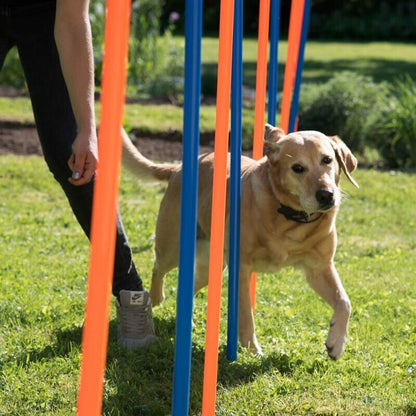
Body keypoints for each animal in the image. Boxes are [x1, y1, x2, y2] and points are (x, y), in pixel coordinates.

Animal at [122, 124, 360, 360]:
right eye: (298, 168)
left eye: (327, 160)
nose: (326, 195)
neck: (288, 217)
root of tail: (178, 168)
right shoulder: (241, 269)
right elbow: (246, 316)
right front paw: (252, 350)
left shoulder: (319, 268)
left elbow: (344, 302)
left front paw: (336, 343)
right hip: (172, 246)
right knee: (158, 267)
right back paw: (156, 298)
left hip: (210, 267)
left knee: (186, 287)